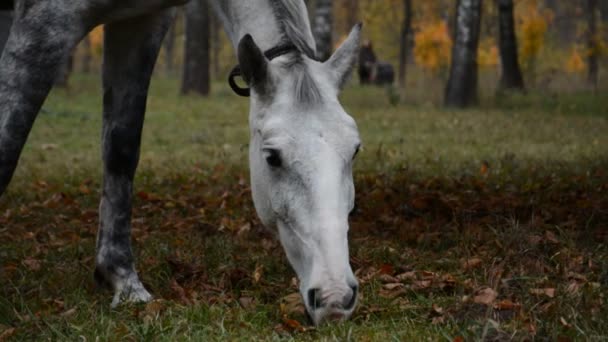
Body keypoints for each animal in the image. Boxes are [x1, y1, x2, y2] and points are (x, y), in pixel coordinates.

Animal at [0, 0, 360, 324]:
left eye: (355, 149)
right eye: (272, 157)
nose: (335, 296)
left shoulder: (142, 23)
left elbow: (121, 148)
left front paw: (123, 281)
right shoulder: (47, 21)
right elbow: (7, 142)